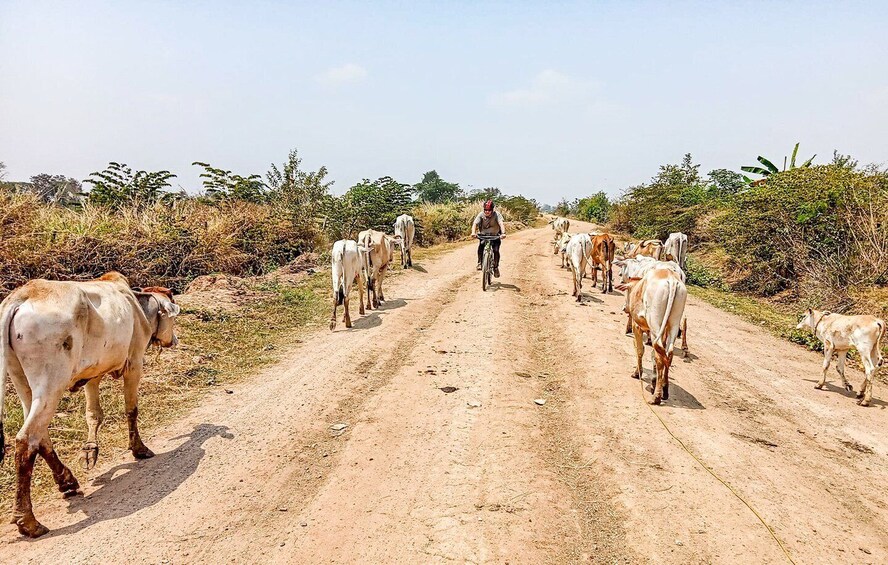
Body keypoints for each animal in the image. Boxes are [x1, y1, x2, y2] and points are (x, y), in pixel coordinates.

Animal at [0, 270, 180, 536]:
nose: (174, 340)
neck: (137, 306)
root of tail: (21, 295)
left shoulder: (92, 375)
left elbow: (93, 414)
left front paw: (90, 450)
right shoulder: (135, 362)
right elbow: (131, 409)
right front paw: (139, 449)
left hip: (22, 381)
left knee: (40, 436)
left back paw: (66, 481)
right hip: (51, 382)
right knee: (26, 439)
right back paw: (28, 521)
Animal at [624, 266, 688, 404]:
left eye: (628, 291)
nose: (625, 308)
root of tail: (671, 278)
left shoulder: (637, 326)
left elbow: (640, 350)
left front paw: (637, 373)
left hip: (655, 323)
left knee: (660, 356)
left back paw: (657, 396)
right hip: (673, 323)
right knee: (668, 354)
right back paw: (665, 389)